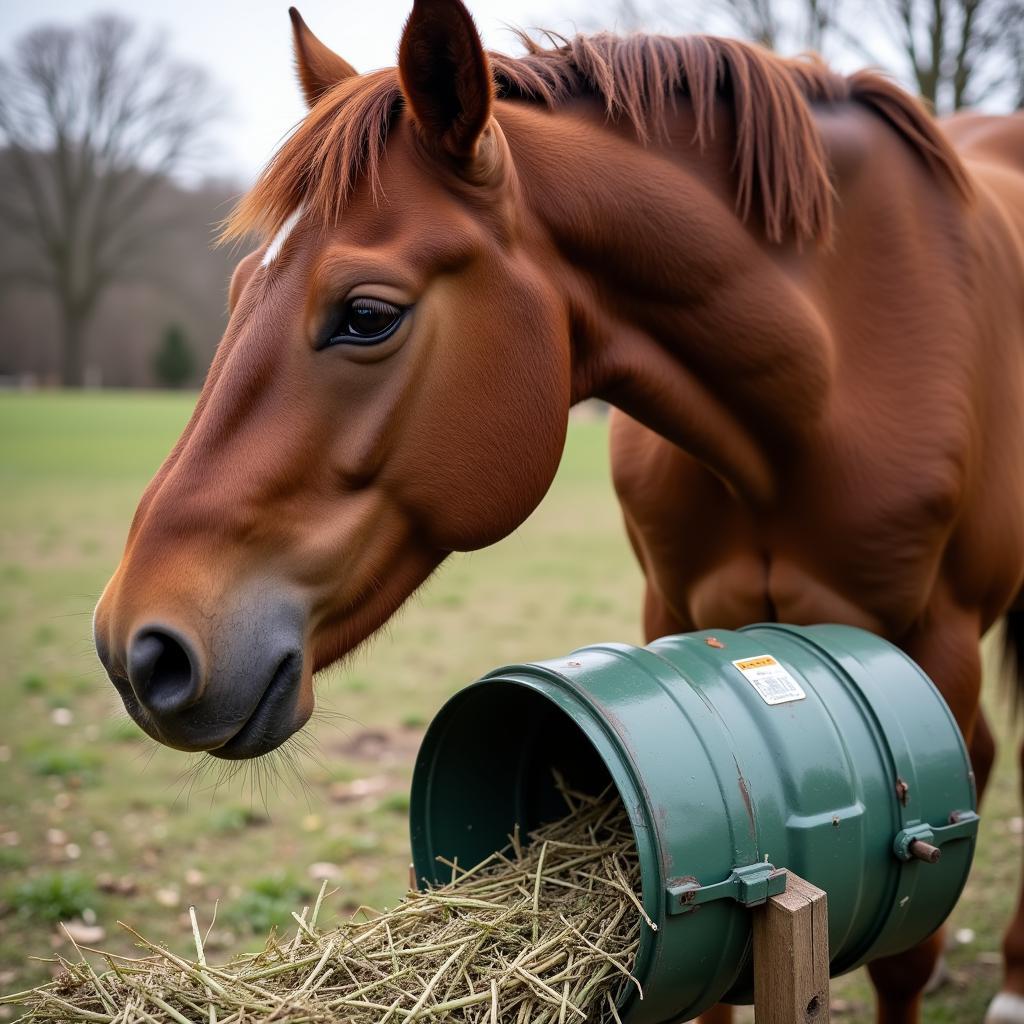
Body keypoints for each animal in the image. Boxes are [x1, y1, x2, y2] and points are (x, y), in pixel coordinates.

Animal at [92, 4, 1024, 1019]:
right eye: (234, 293)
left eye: (367, 315)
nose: (139, 649)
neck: (827, 378)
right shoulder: (679, 620)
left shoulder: (931, 651)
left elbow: (905, 953)